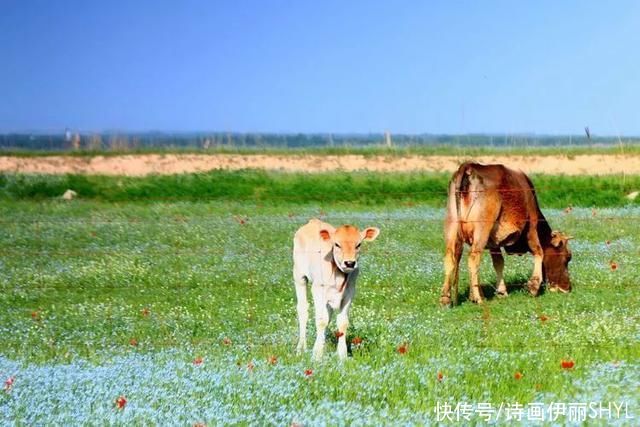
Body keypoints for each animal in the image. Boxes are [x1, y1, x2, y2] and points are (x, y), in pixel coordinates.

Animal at [296, 219, 380, 360]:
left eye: (359, 244)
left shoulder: (350, 292)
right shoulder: (318, 289)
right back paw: (301, 348)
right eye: (336, 244)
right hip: (299, 276)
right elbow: (321, 320)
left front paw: (342, 355)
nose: (350, 263)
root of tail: (313, 221)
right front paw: (317, 354)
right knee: (303, 310)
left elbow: (342, 322)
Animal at [440, 162, 576, 306]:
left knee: (450, 257)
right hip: (481, 229)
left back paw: (446, 298)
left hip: (451, 225)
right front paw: (533, 287)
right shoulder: (531, 225)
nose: (567, 288)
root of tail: (469, 167)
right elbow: (539, 251)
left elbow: (498, 262)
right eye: (567, 257)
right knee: (473, 258)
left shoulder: (493, 241)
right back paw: (479, 298)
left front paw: (500, 292)